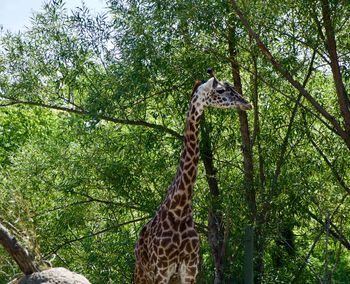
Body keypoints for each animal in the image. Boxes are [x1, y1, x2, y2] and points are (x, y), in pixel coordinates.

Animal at [133, 74, 252, 282]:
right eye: (221, 90)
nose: (248, 103)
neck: (179, 211)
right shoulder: (162, 269)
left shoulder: (190, 268)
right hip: (142, 274)